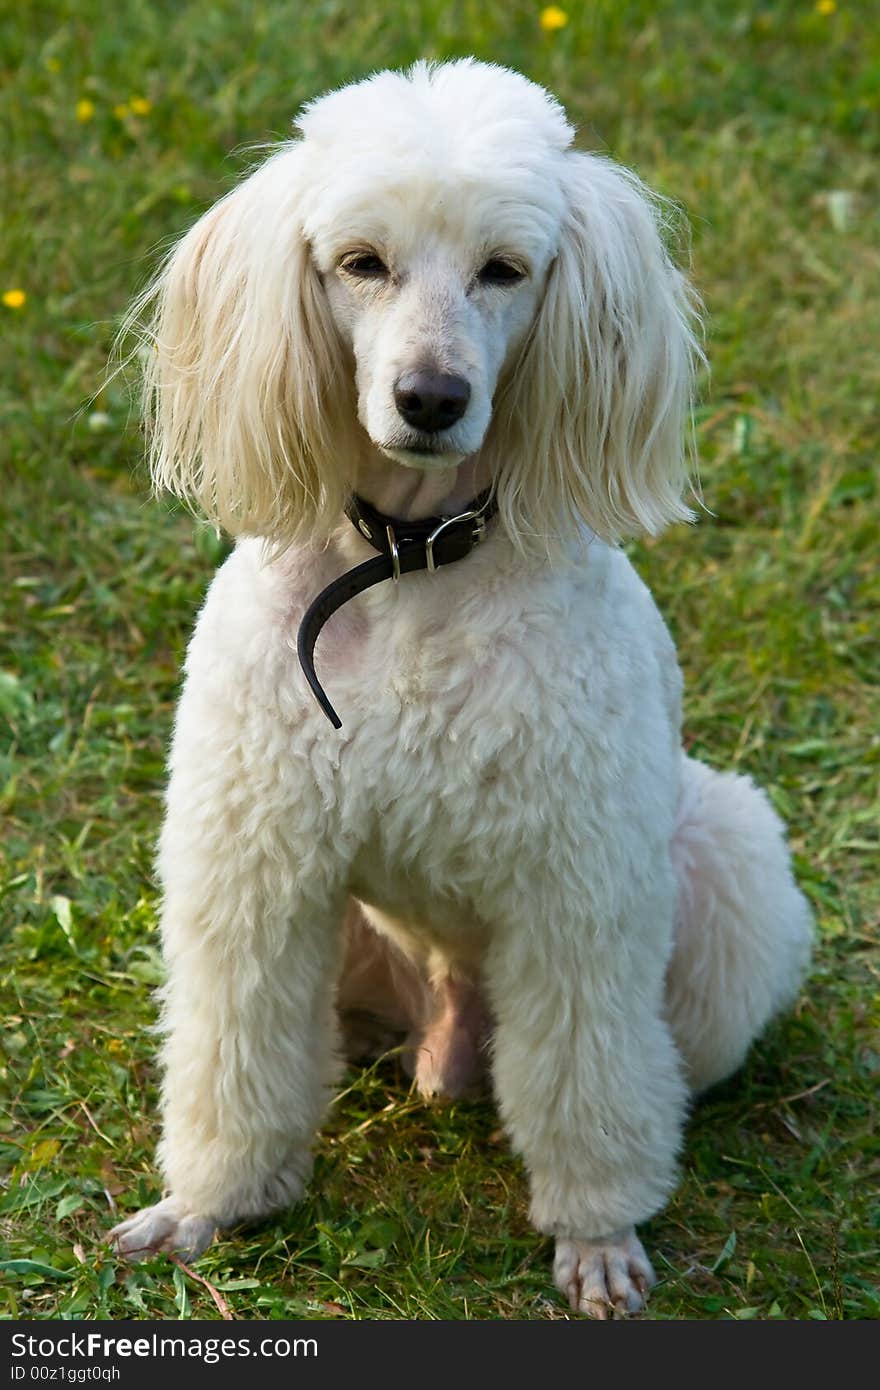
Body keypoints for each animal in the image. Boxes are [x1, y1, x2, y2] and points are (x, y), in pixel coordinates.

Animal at [109, 59, 811, 1317]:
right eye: (359, 262)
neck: (409, 563)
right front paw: (208, 1205)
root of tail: (443, 1027)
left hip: (719, 866)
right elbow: (233, 1052)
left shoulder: (575, 886)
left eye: (504, 269)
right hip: (351, 958)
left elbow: (590, 1075)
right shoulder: (256, 869)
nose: (429, 398)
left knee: (646, 1061)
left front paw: (596, 1234)